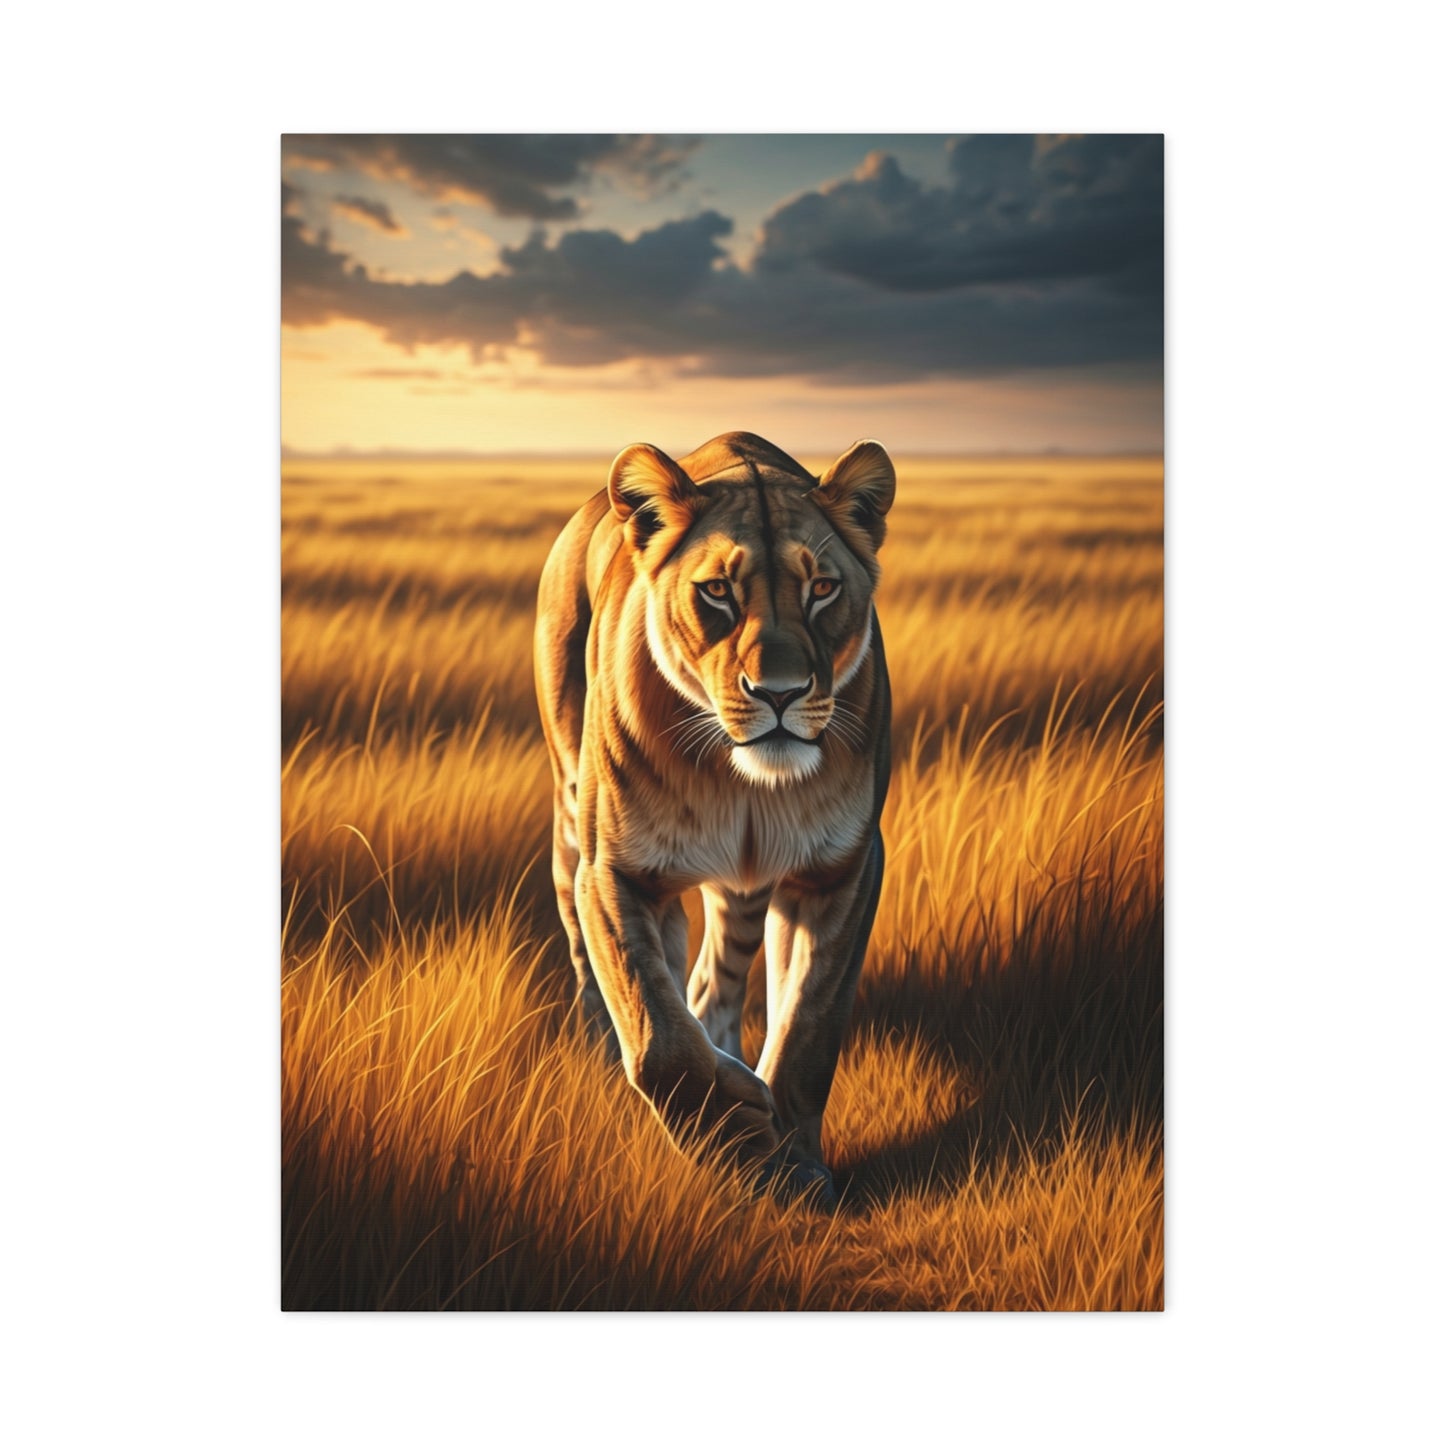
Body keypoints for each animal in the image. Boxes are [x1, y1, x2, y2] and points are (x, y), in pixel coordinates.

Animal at [534, 431, 894, 1208]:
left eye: (823, 589)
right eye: (718, 592)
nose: (780, 693)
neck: (741, 783)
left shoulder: (841, 870)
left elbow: (808, 1025)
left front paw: (794, 1162)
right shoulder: (617, 872)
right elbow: (657, 1034)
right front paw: (734, 1139)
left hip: (746, 881)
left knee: (714, 975)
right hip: (571, 812)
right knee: (592, 955)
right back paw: (604, 1053)